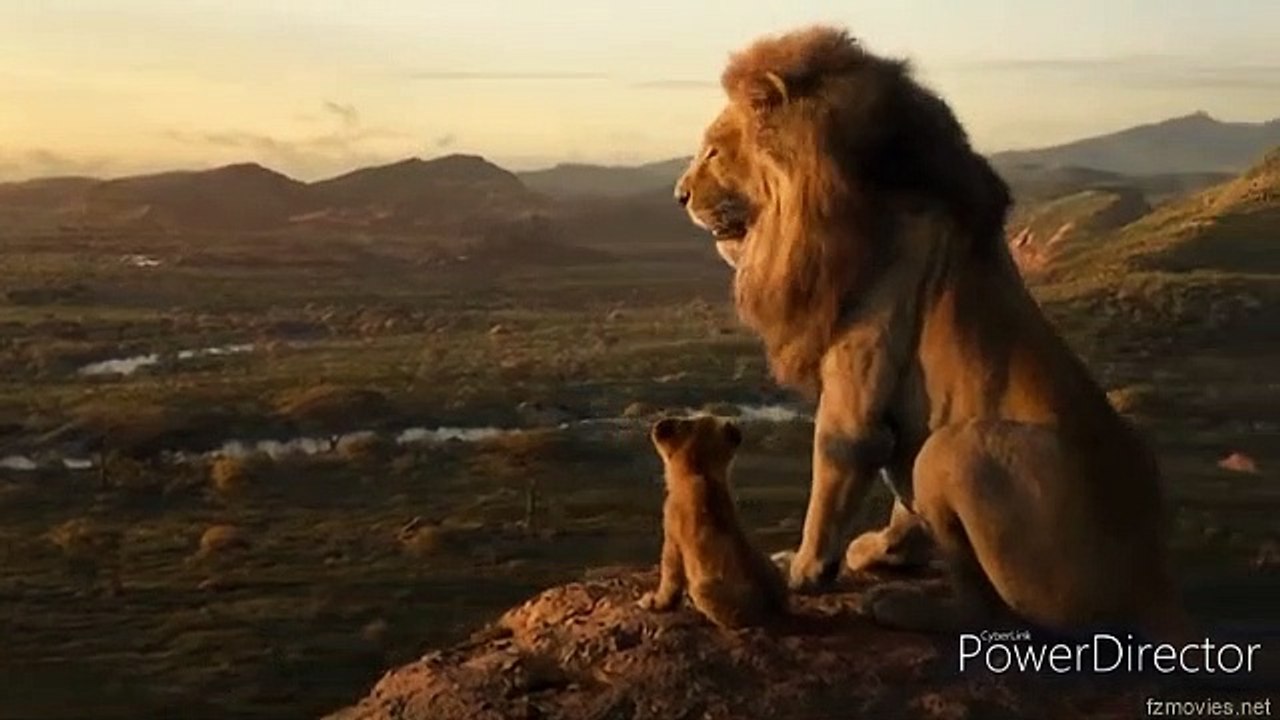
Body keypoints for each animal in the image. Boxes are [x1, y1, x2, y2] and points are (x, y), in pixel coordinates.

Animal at [638, 414, 789, 629]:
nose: (659, 424)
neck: (701, 471)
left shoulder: (672, 533)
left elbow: (669, 577)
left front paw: (652, 602)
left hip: (703, 588)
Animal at [672, 25, 1192, 640]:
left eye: (713, 150)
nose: (679, 194)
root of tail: (1156, 589)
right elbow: (898, 491)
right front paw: (875, 552)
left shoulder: (872, 327)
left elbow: (842, 447)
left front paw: (804, 569)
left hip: (958, 453)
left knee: (992, 613)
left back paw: (904, 607)